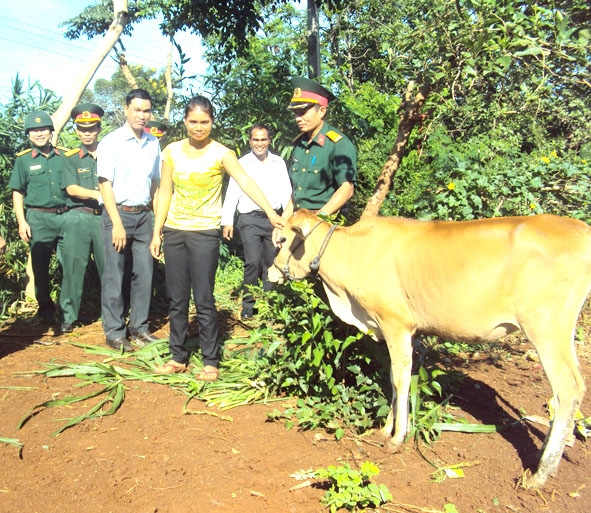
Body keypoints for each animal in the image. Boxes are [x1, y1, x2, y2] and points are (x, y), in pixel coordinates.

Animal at [270, 209, 591, 488]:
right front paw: (386, 428)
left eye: (282, 240)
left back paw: (541, 473)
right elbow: (395, 379)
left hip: (546, 328)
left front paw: (396, 438)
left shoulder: (396, 323)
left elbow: (400, 378)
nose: (272, 273)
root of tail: (582, 229)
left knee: (568, 389)